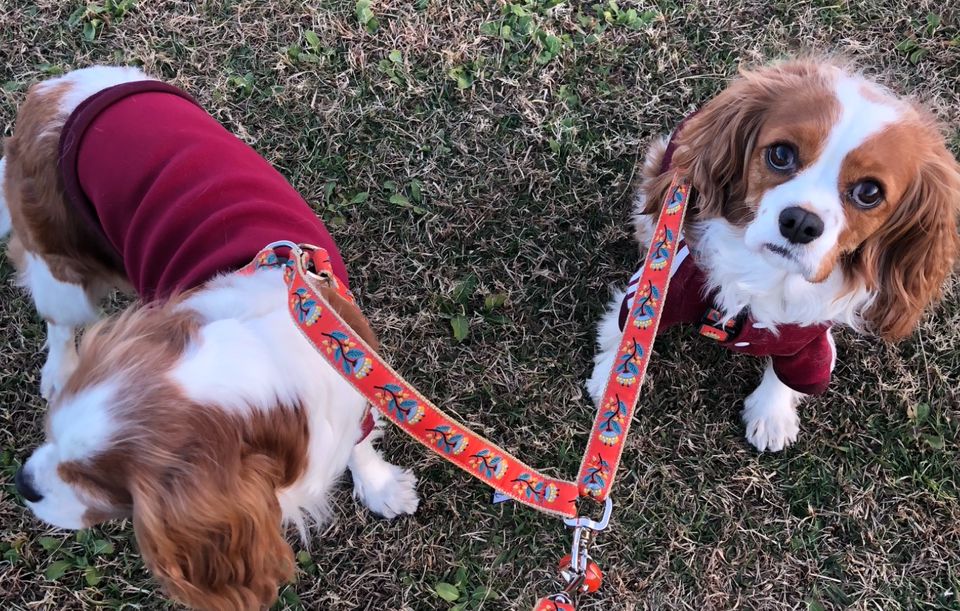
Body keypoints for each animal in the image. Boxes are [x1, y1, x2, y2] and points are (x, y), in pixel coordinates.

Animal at [1, 66, 419, 610]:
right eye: (52, 436)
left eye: (101, 486)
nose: (22, 483)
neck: (254, 358)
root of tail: (49, 90)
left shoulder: (354, 374)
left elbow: (359, 442)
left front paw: (381, 486)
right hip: (61, 266)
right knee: (59, 319)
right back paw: (61, 369)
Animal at [588, 59, 959, 452]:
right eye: (781, 154)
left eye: (869, 192)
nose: (801, 223)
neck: (763, 276)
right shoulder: (662, 287)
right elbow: (627, 329)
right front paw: (610, 381)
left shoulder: (807, 344)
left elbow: (790, 375)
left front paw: (771, 415)